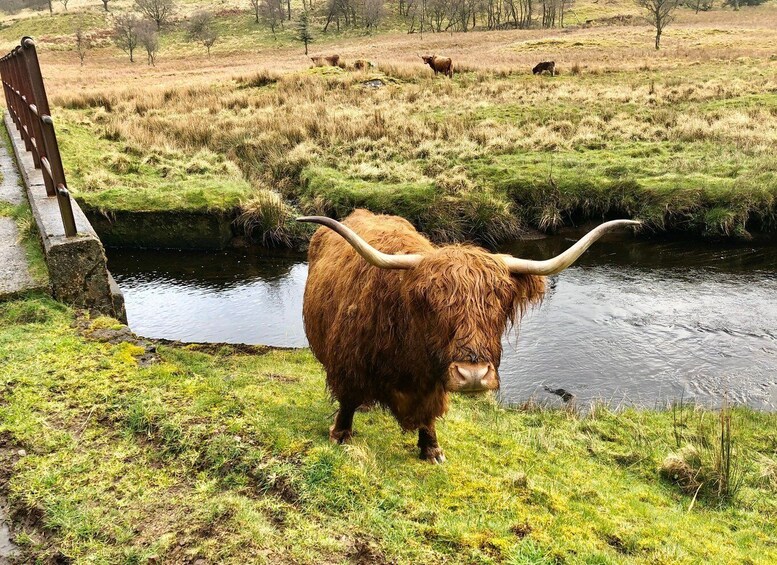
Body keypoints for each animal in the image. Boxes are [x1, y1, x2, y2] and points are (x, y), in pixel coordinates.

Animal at [298, 209, 636, 460]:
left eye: (501, 300)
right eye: (430, 301)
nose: (473, 375)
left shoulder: (432, 382)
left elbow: (429, 415)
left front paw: (431, 449)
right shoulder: (347, 365)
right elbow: (347, 401)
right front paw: (340, 436)